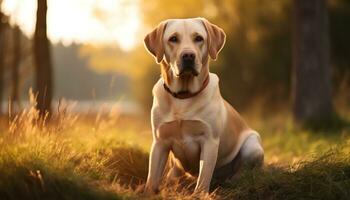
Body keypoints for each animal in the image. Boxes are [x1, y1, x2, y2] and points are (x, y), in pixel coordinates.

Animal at [144, 17, 264, 194]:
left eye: (199, 38)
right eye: (173, 38)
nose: (188, 55)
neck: (183, 97)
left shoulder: (209, 141)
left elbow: (203, 179)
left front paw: (199, 195)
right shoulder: (159, 142)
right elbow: (152, 179)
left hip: (253, 146)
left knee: (248, 171)